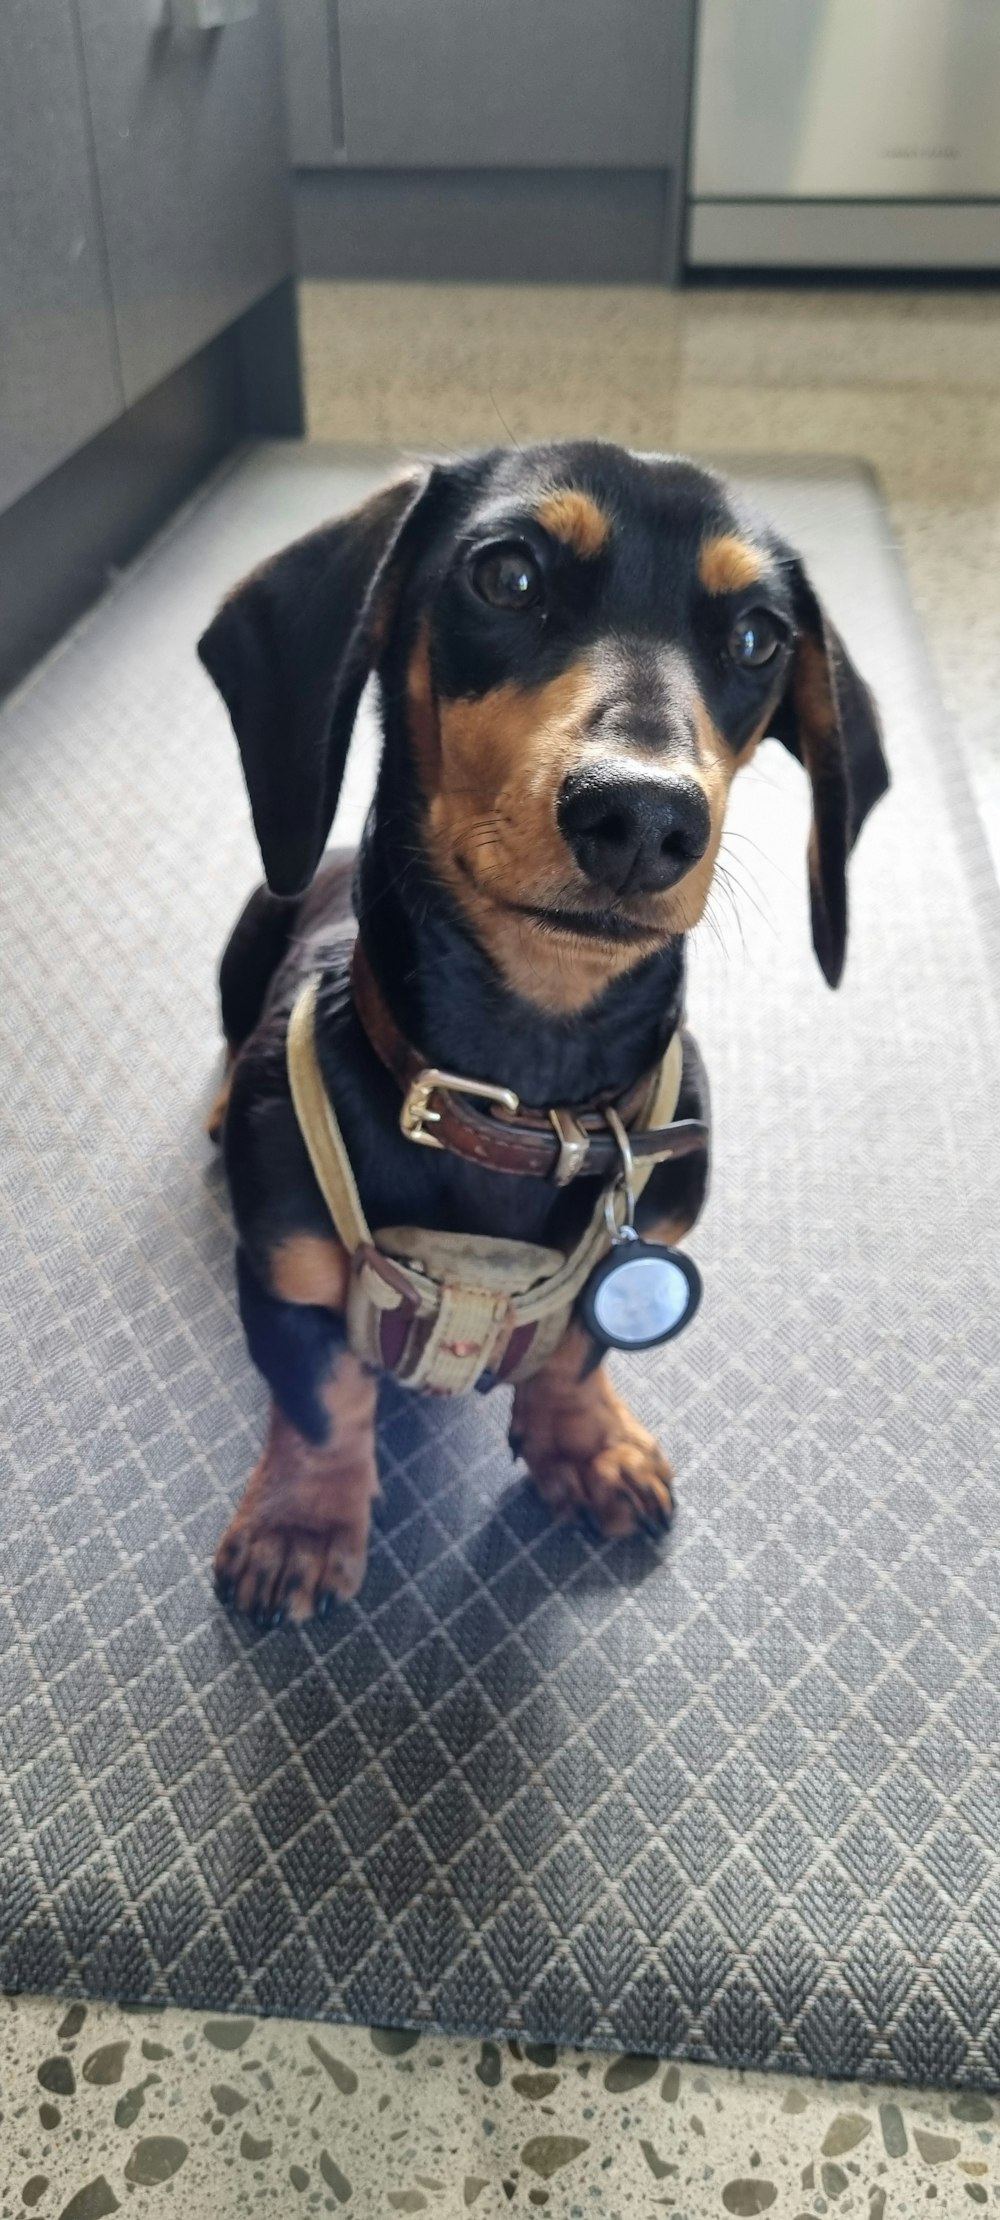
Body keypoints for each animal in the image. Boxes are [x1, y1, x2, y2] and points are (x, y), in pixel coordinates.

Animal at [198, 446, 888, 1633]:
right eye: (507, 576)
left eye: (758, 636)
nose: (643, 819)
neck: (522, 1097)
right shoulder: (282, 1274)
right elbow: (323, 1398)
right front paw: (302, 1524)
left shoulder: (637, 1242)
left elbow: (576, 1351)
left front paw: (589, 1447)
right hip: (246, 943)